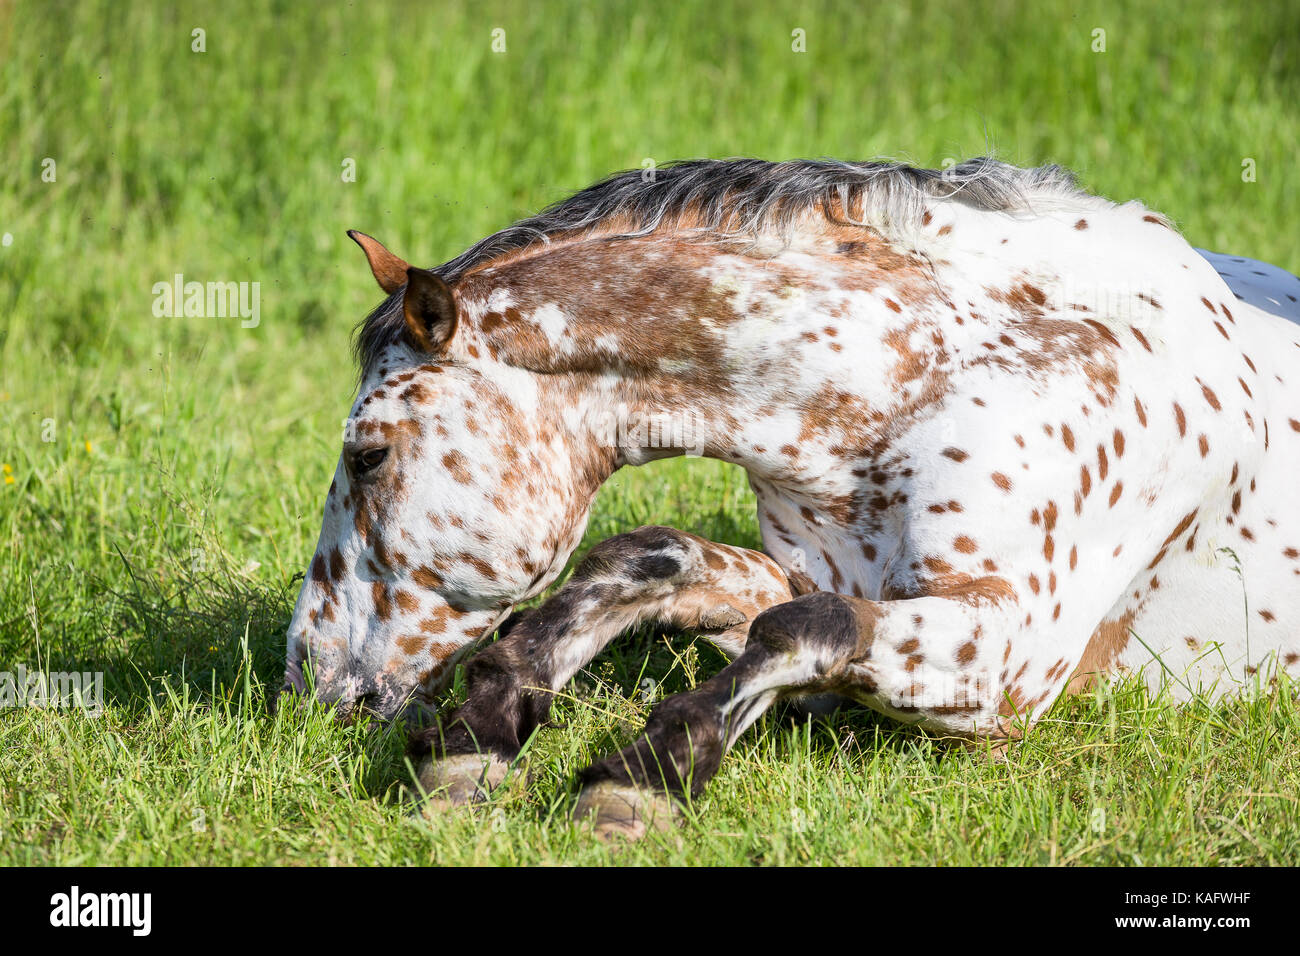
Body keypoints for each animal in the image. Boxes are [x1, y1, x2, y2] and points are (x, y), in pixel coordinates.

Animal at [281, 157, 1300, 838]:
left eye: (368, 456)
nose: (307, 681)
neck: (929, 369)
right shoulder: (809, 579)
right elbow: (654, 560)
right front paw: (480, 735)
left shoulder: (1004, 671)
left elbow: (801, 629)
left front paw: (647, 775)